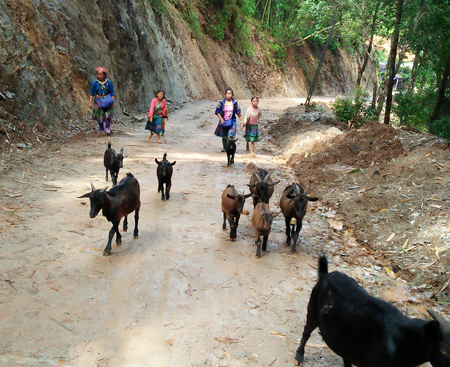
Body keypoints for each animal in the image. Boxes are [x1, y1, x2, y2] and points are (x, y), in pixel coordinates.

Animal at [294, 256, 450, 367]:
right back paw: (299, 357)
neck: (403, 340)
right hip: (312, 310)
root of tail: (326, 275)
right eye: (444, 351)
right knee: (307, 331)